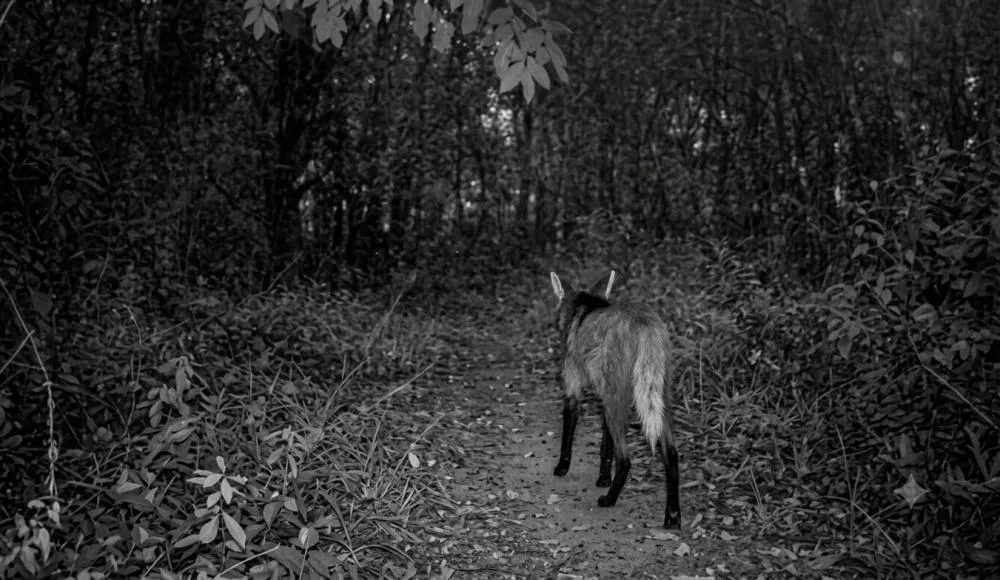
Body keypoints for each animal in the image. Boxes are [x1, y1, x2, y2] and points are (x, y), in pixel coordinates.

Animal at [549, 270, 680, 528]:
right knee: (671, 455)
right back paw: (672, 516)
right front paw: (603, 479)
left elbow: (569, 435)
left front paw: (562, 468)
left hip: (619, 398)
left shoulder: (575, 388)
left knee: (625, 459)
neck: (583, 311)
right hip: (656, 397)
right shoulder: (605, 397)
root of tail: (644, 320)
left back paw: (608, 500)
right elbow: (605, 446)